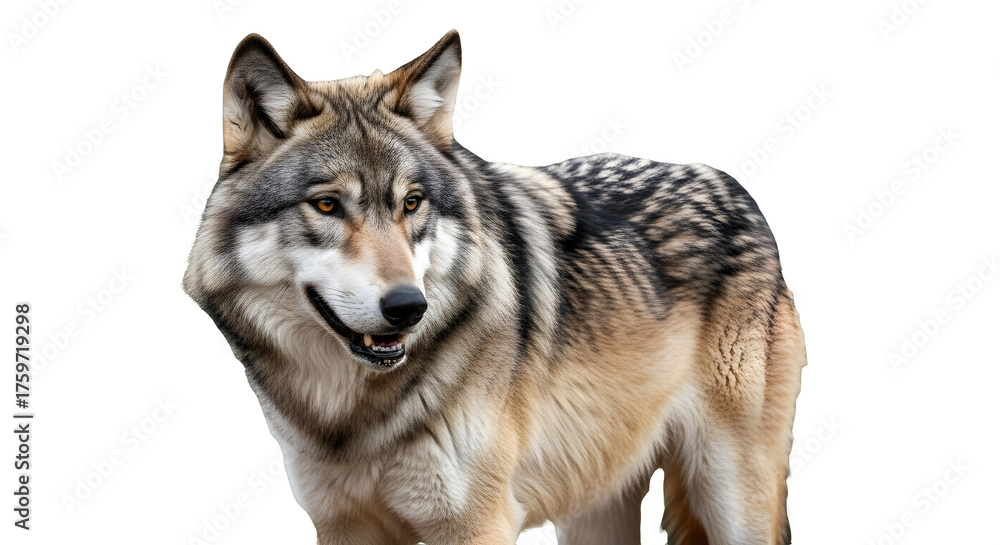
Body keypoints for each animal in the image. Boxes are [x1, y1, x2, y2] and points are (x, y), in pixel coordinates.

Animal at [183, 29, 806, 545]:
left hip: (732, 498)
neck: (352, 417)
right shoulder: (341, 527)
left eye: (412, 203)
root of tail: (736, 188)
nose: (408, 307)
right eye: (328, 205)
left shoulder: (476, 525)